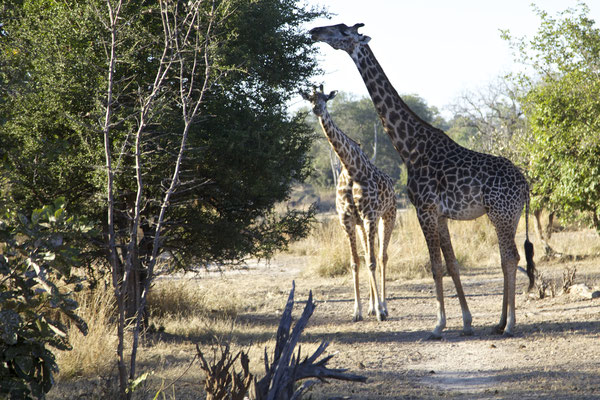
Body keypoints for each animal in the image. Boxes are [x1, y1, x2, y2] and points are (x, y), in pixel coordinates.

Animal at [302, 85, 396, 322]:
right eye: (310, 99)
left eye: (325, 98)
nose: (317, 109)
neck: (350, 167)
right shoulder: (347, 219)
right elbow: (355, 262)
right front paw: (357, 311)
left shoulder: (370, 215)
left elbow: (372, 260)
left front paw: (380, 311)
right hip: (363, 225)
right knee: (368, 253)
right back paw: (372, 307)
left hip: (388, 215)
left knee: (381, 256)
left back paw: (383, 306)